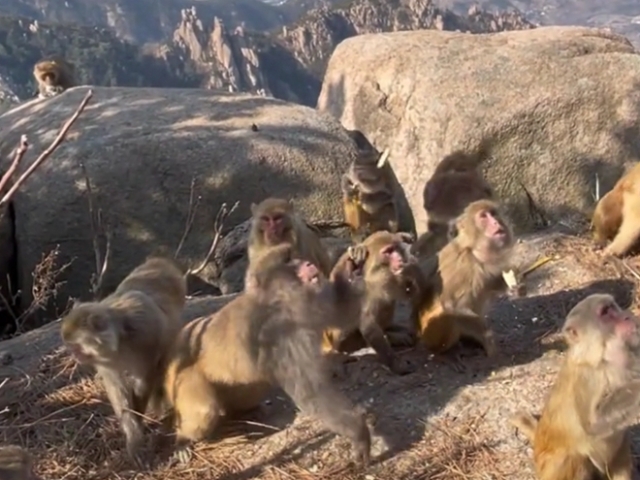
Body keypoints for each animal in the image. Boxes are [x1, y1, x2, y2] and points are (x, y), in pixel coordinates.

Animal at [60, 256, 187, 468]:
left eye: (76, 346)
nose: (75, 356)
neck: (119, 340)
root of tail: (158, 262)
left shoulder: (147, 334)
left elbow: (146, 377)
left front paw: (139, 415)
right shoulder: (105, 360)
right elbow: (118, 389)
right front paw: (134, 437)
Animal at [164, 243, 372, 466]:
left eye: (294, 256)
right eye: (288, 260)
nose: (308, 263)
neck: (281, 302)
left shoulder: (309, 304)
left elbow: (341, 312)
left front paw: (354, 266)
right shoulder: (279, 337)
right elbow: (311, 392)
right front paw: (359, 433)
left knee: (253, 388)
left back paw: (243, 411)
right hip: (182, 381)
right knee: (205, 410)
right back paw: (182, 440)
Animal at [320, 230, 421, 375]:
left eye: (395, 249)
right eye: (388, 251)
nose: (400, 259)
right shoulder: (363, 289)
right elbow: (368, 324)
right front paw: (396, 364)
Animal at [408, 199, 521, 359]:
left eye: (493, 214)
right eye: (483, 216)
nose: (496, 222)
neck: (474, 250)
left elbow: (491, 282)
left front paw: (515, 289)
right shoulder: (464, 264)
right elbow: (451, 305)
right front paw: (489, 339)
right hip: (431, 334)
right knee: (448, 316)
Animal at [510, 293, 640, 480]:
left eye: (613, 307)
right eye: (605, 312)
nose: (627, 316)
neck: (604, 358)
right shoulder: (587, 377)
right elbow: (593, 423)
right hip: (550, 470)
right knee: (575, 458)